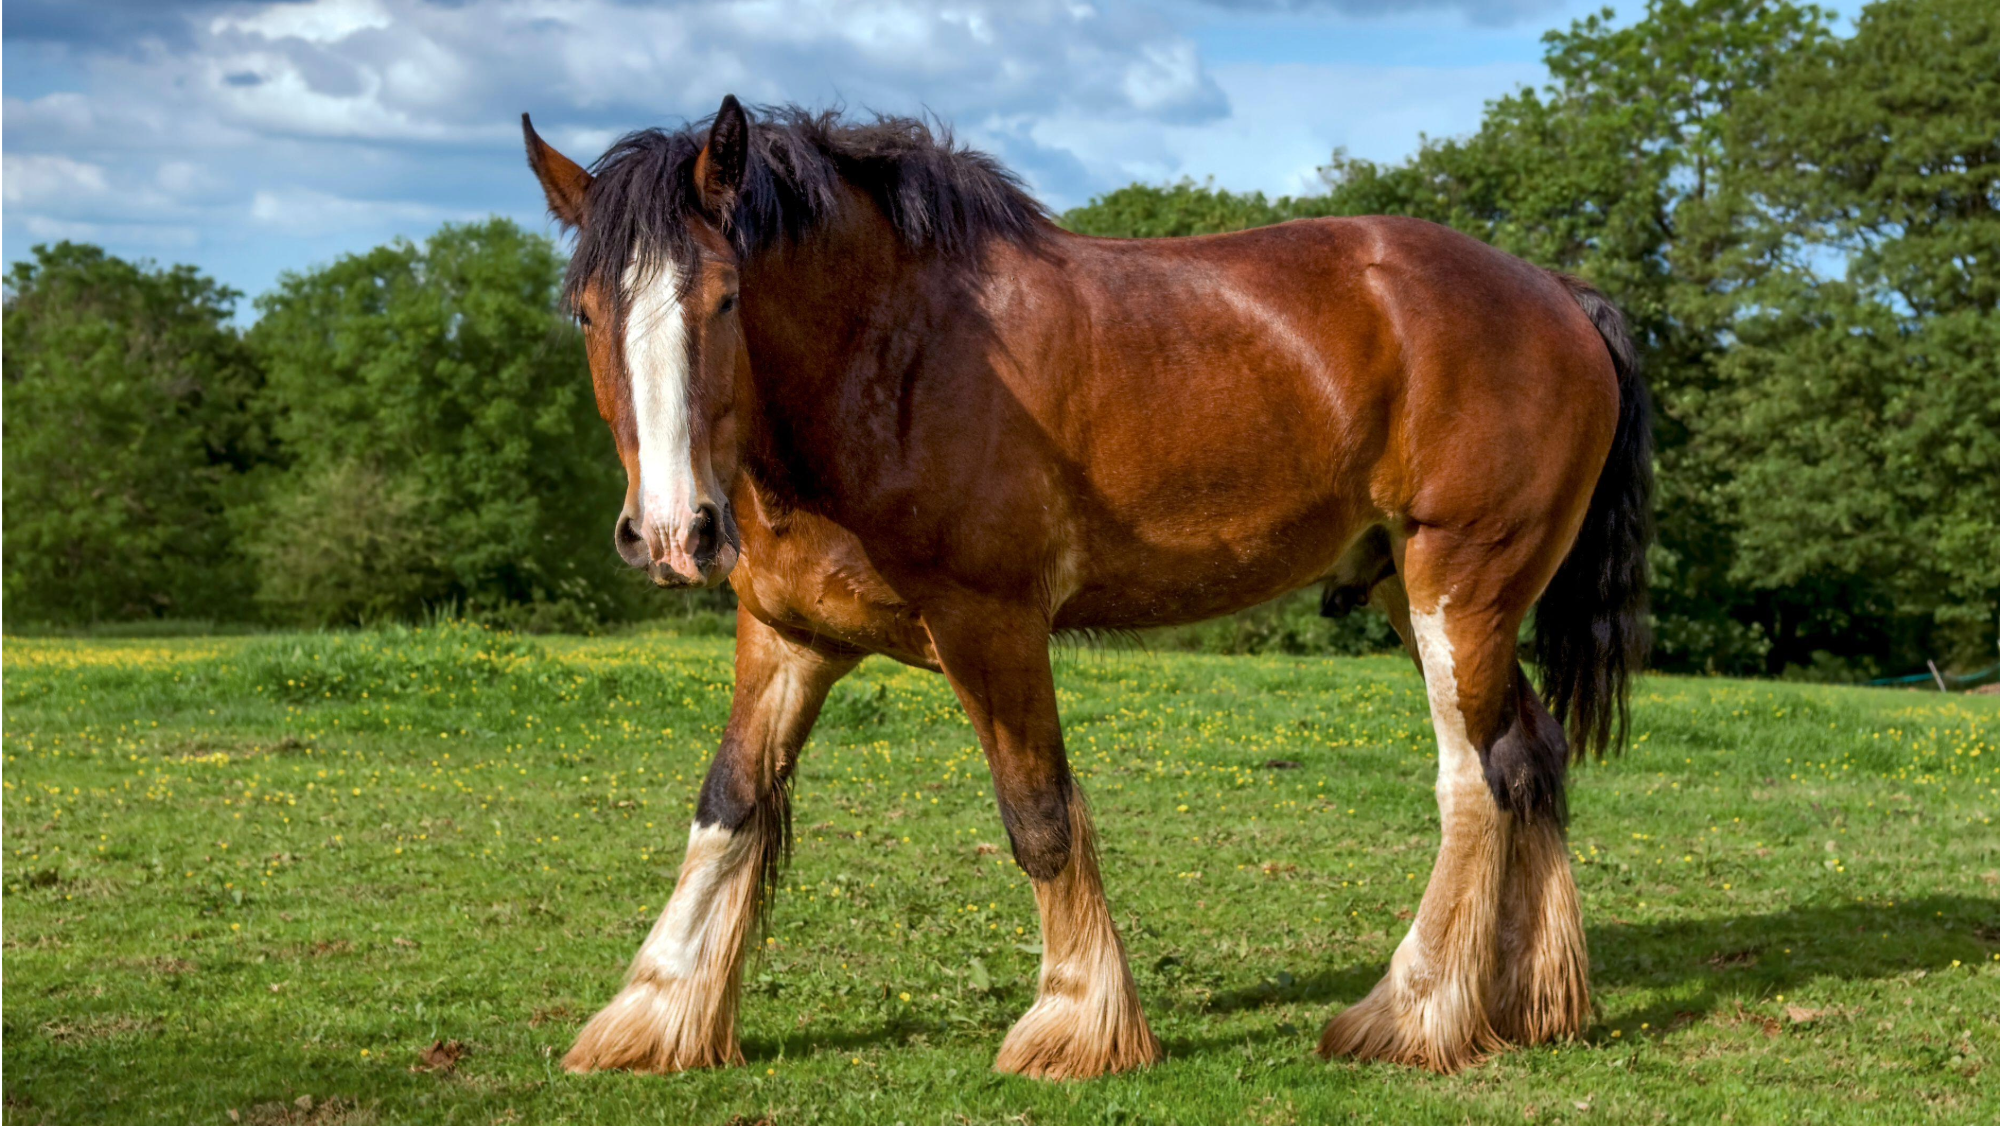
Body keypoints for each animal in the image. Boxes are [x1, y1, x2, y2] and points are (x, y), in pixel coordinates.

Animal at [522, 94, 1651, 1080]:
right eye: (585, 311)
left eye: (723, 298)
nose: (674, 533)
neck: (893, 353)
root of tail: (1557, 292)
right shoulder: (787, 635)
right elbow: (730, 805)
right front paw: (650, 1015)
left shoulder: (991, 626)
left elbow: (1038, 814)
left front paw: (1074, 1025)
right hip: (1426, 597)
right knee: (1531, 755)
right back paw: (1532, 1002)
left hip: (1457, 587)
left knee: (1475, 778)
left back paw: (1410, 1014)